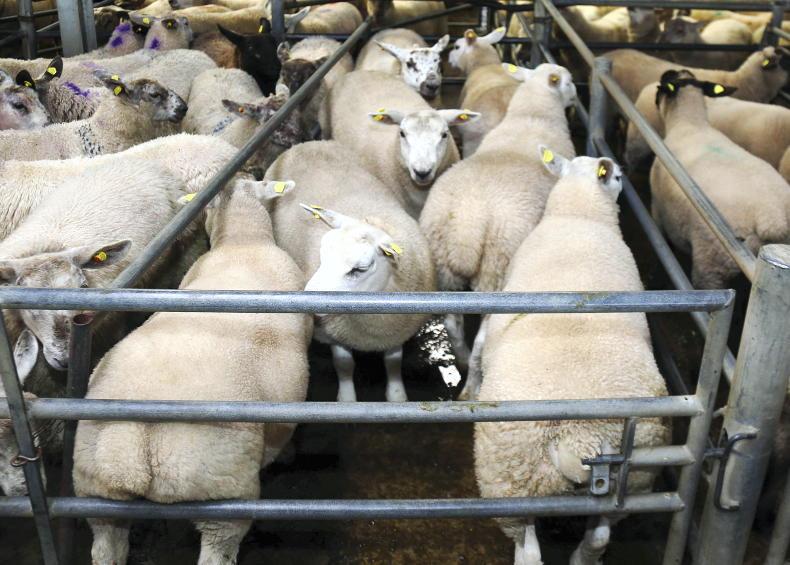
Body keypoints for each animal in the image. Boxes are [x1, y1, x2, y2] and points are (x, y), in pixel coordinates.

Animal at [72, 179, 310, 565]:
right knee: (218, 550)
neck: (243, 242)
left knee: (106, 546)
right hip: (223, 499)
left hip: (97, 491)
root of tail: (143, 440)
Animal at [267, 139, 435, 402]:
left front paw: (397, 396)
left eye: (360, 268)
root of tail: (308, 143)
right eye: (322, 253)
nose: (307, 300)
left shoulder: (397, 331)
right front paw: (346, 398)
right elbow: (344, 365)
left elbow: (393, 364)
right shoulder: (335, 333)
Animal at [419, 62, 577, 400]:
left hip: (444, 267)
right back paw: (472, 386)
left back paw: (462, 360)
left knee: (452, 324)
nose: (576, 97)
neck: (533, 115)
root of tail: (468, 222)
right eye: (569, 81)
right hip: (497, 271)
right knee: (482, 340)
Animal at [474, 148, 669, 565]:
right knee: (598, 536)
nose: (621, 178)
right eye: (615, 178)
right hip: (628, 483)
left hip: (511, 488)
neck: (577, 215)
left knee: (530, 553)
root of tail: (578, 438)